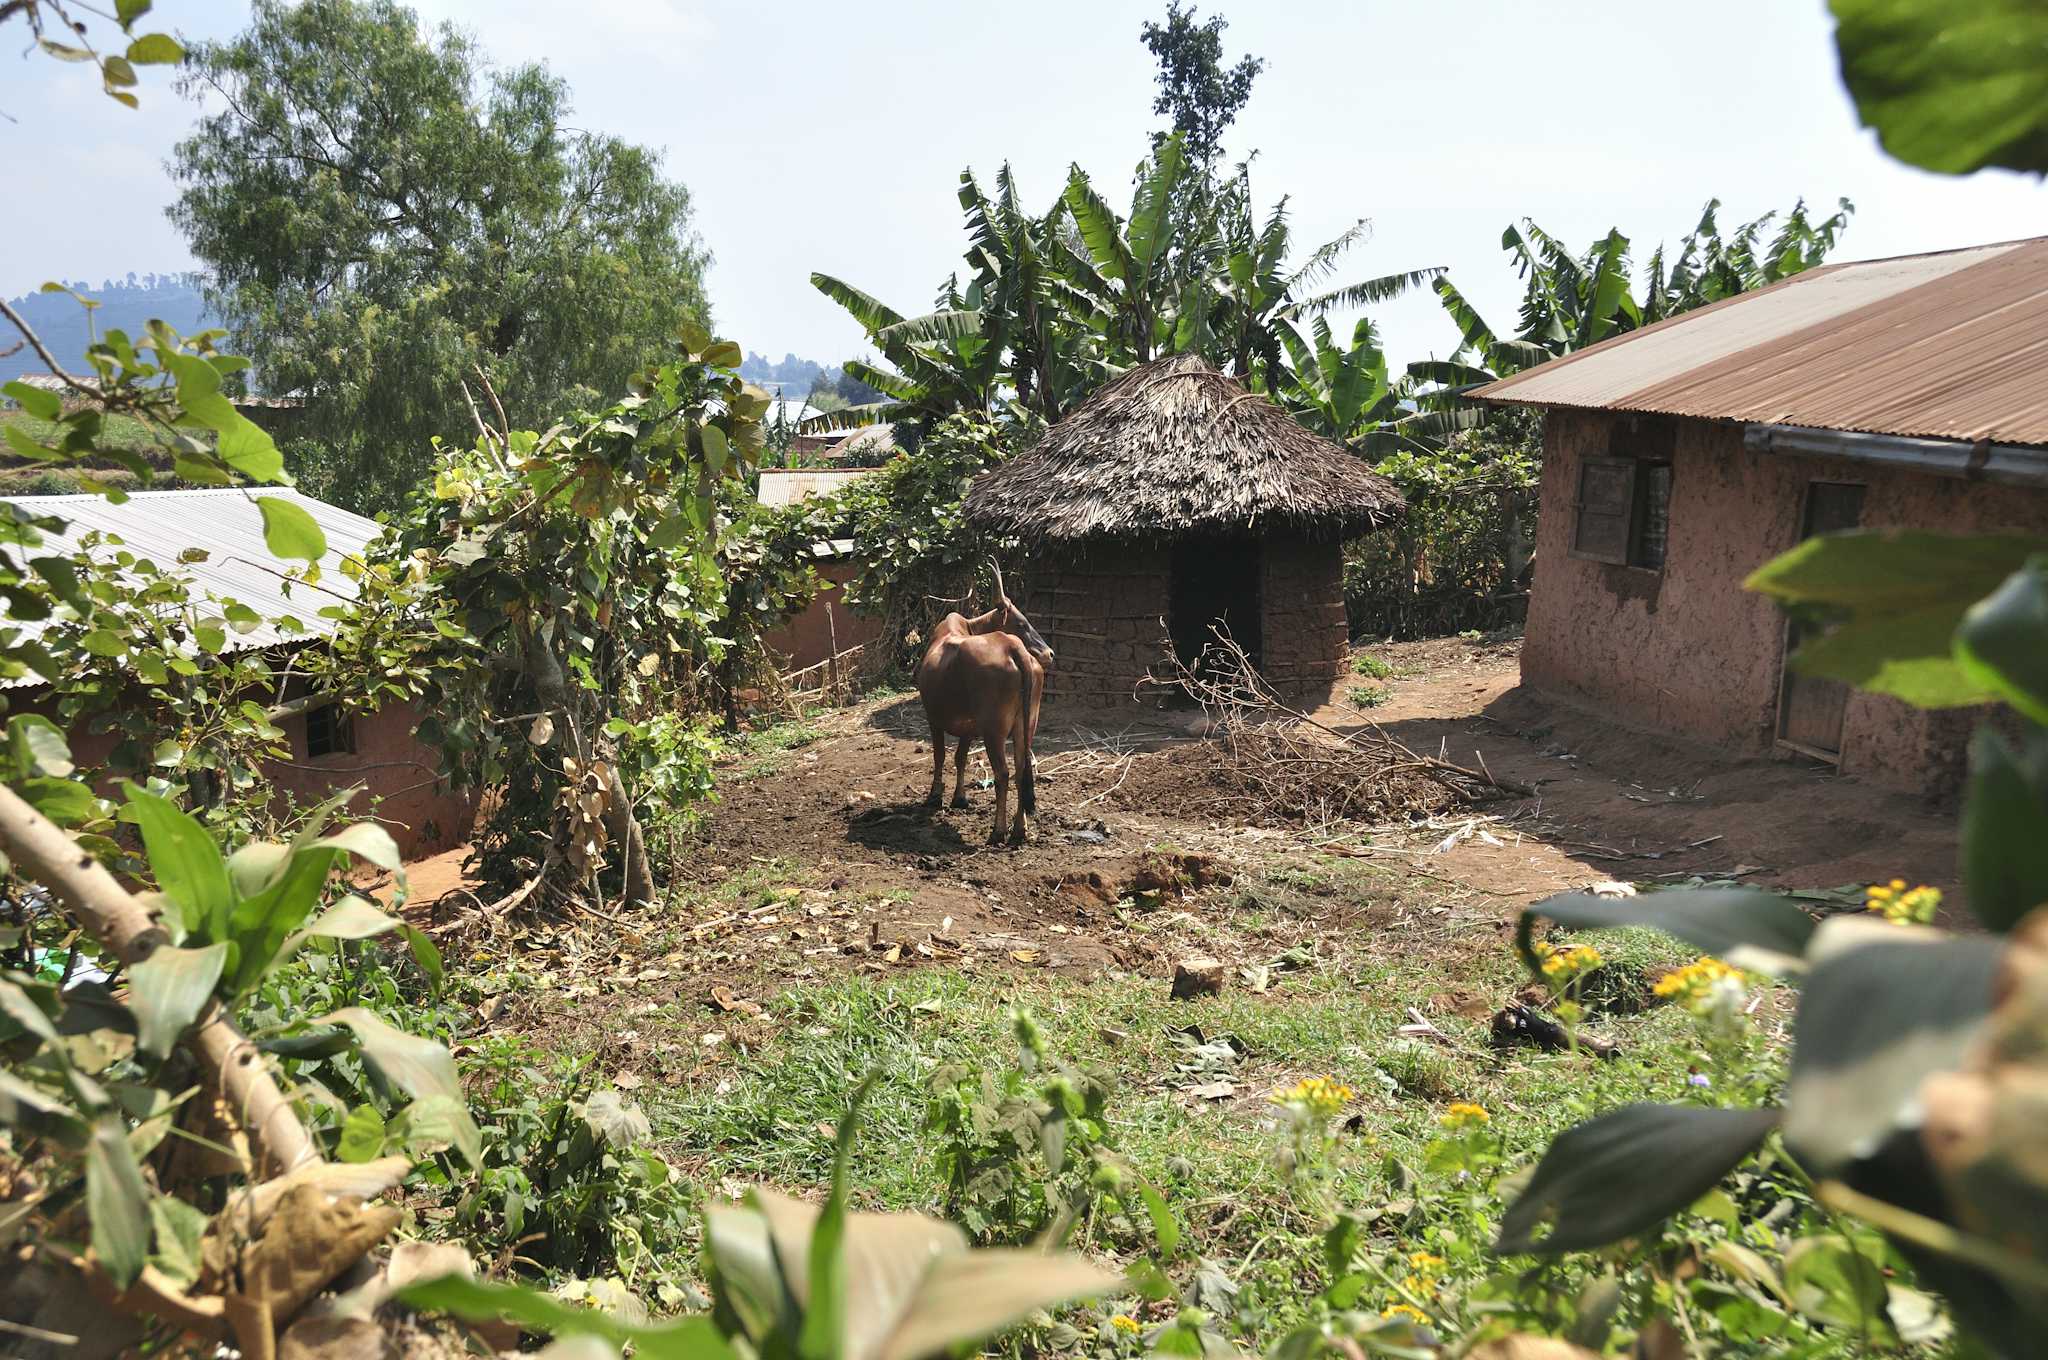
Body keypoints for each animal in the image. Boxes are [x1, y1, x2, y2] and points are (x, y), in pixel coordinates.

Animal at [925, 561, 1056, 839]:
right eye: (1021, 623)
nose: (1049, 653)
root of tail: (1013, 648)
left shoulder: (934, 719)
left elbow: (940, 757)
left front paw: (935, 795)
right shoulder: (967, 727)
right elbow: (959, 758)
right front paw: (959, 798)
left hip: (993, 730)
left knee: (1003, 773)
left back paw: (998, 831)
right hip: (1025, 726)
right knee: (1020, 771)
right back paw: (1019, 829)